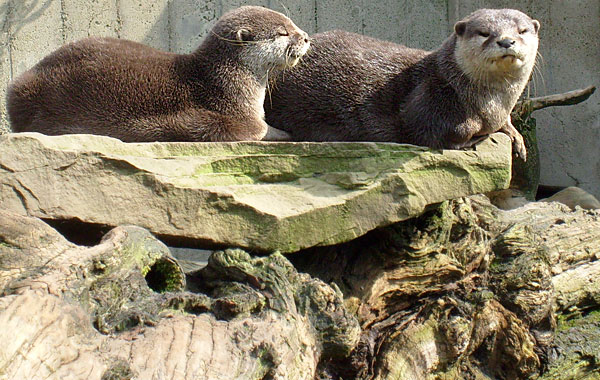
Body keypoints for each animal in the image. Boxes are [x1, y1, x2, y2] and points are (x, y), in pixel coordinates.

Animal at [7, 5, 310, 142]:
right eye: (283, 33)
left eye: (293, 23)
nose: (306, 37)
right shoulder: (228, 115)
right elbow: (256, 129)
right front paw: (283, 132)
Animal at [266, 8, 540, 160]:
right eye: (484, 33)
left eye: (522, 30)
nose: (506, 41)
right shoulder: (430, 94)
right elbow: (428, 130)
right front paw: (476, 135)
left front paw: (516, 137)